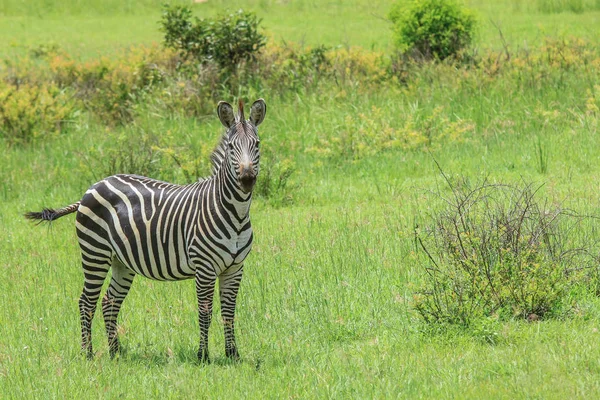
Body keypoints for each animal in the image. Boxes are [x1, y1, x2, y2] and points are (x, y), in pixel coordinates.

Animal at [25, 97, 264, 362]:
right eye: (231, 147)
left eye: (257, 144)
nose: (247, 179)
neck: (235, 213)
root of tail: (92, 187)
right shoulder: (205, 268)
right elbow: (205, 312)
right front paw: (203, 356)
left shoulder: (235, 268)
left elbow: (229, 312)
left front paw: (233, 355)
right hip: (94, 253)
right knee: (86, 301)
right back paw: (88, 353)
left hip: (121, 261)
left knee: (109, 301)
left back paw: (116, 352)